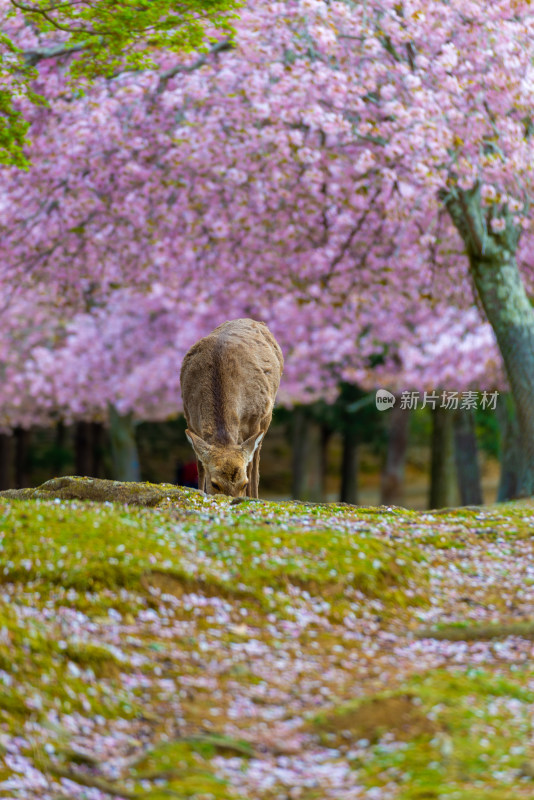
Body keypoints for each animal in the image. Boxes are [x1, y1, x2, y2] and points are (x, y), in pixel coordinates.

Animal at [181, 318, 284, 494]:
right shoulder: (190, 417)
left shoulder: (254, 419)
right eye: (215, 484)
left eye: (244, 483)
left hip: (267, 414)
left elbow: (250, 465)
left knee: (255, 460)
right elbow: (200, 466)